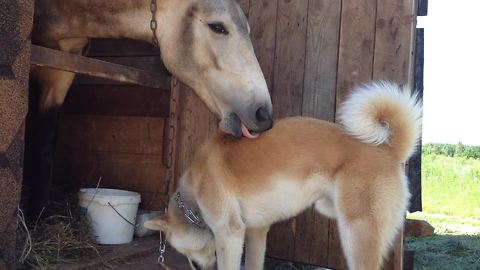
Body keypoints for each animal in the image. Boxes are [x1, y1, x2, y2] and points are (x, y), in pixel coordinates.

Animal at [144, 81, 422, 270]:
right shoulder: (256, 232)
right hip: (332, 210)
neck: (194, 192)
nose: (197, 267)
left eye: (184, 253)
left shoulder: (229, 234)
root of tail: (389, 151)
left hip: (356, 233)